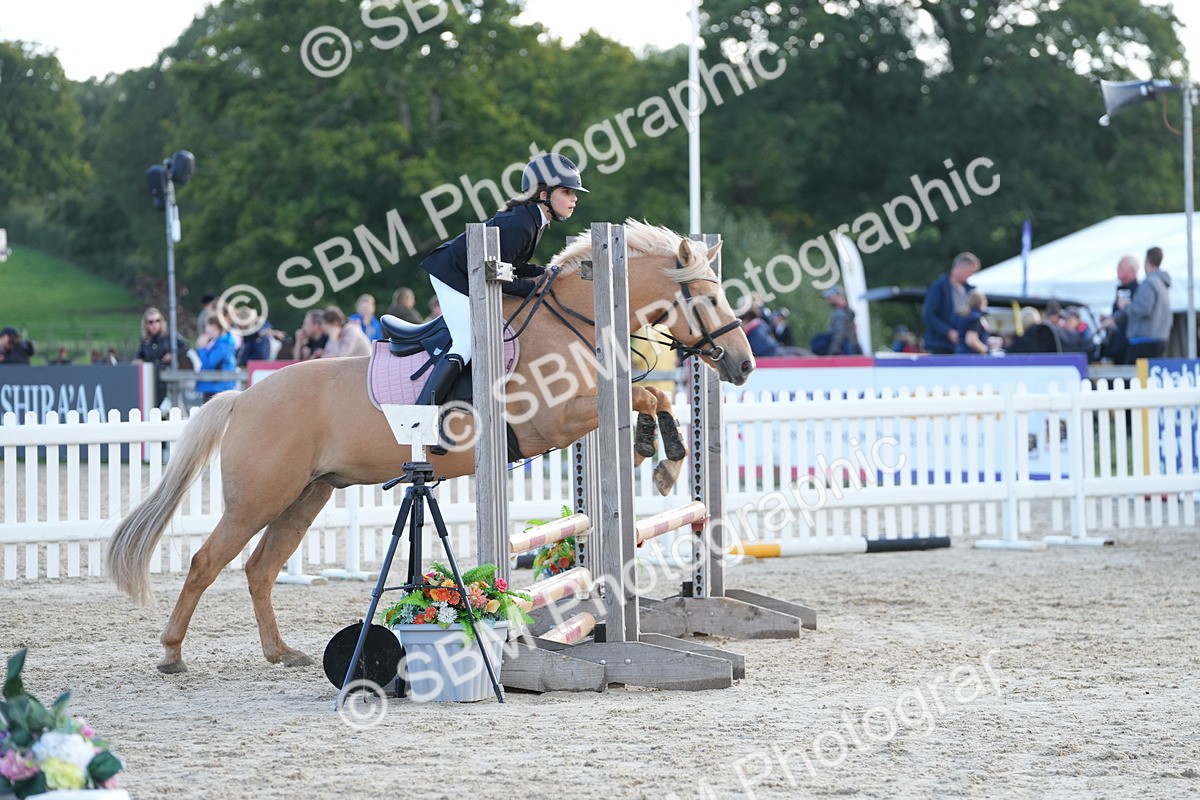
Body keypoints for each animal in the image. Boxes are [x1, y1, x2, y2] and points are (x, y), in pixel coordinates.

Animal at [105, 219, 755, 674]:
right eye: (707, 297)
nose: (744, 365)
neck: (577, 321)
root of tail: (242, 397)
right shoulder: (556, 420)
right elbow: (644, 395)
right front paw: (662, 458)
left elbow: (652, 396)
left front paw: (661, 455)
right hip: (259, 498)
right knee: (206, 563)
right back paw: (171, 654)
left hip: (307, 495)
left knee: (260, 569)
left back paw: (281, 652)